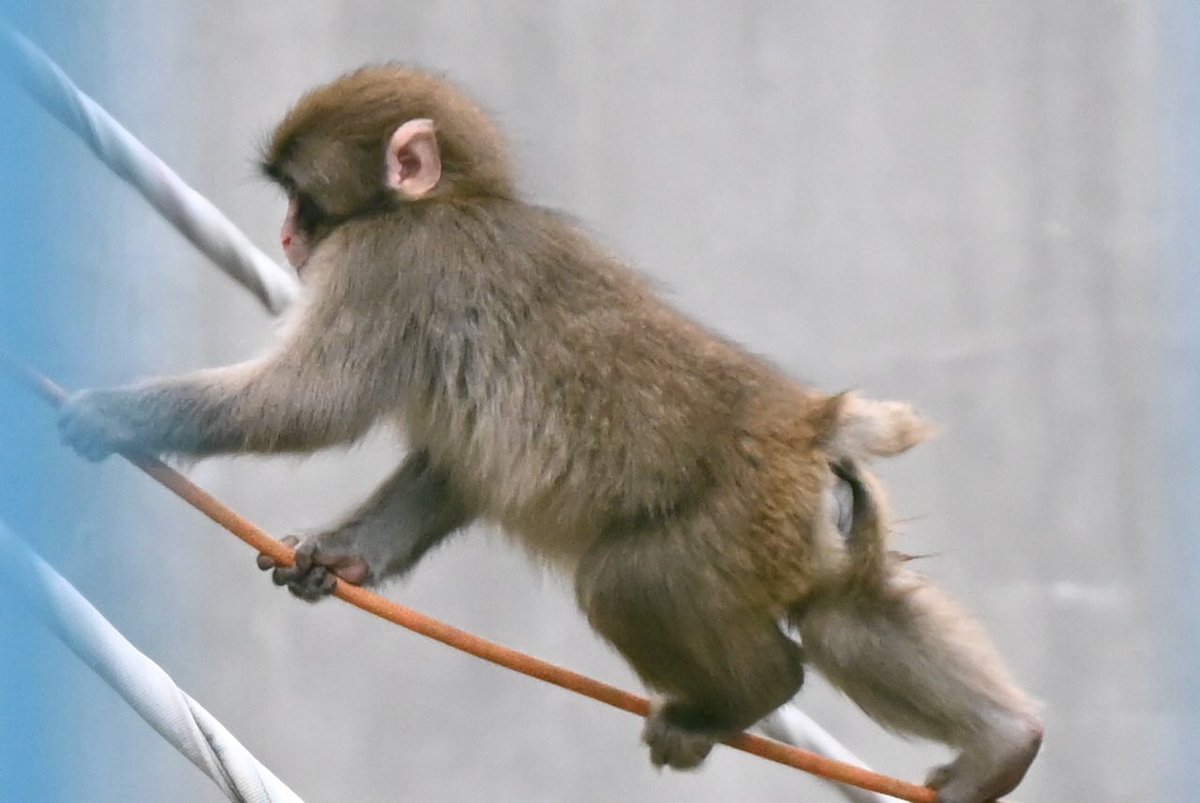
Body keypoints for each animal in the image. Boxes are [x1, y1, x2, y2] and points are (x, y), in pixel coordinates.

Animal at [57, 66, 1042, 802]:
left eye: (303, 196)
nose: (288, 233)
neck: (448, 199)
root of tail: (806, 424)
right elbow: (450, 468)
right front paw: (339, 556)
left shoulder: (389, 265)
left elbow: (310, 403)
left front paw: (115, 414)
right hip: (809, 524)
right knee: (848, 615)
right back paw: (1005, 742)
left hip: (729, 524)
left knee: (631, 580)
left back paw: (750, 695)